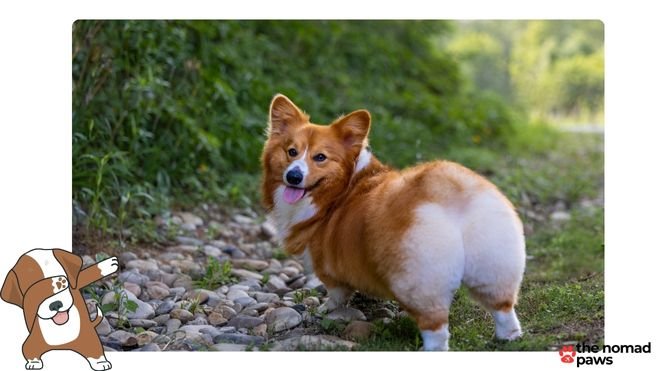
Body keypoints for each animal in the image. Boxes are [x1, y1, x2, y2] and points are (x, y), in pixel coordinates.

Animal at [262, 94, 524, 350]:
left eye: (320, 158)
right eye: (291, 152)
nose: (293, 176)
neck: (340, 190)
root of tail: (448, 193)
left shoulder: (325, 264)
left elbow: (337, 293)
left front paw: (326, 308)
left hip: (417, 282)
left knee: (437, 330)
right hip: (493, 266)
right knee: (503, 308)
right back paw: (508, 337)